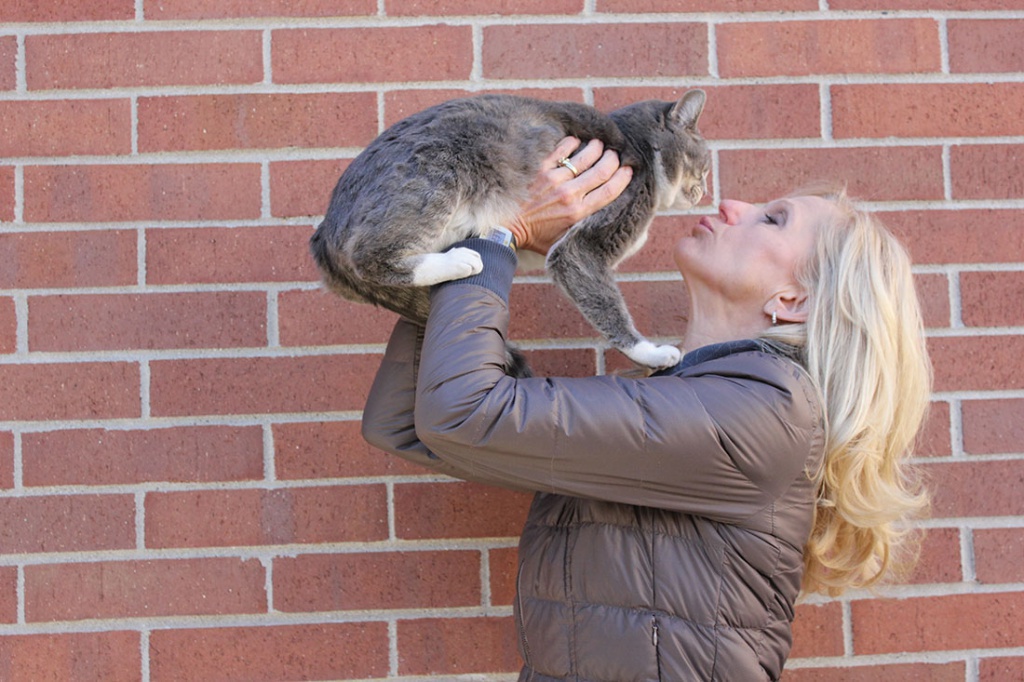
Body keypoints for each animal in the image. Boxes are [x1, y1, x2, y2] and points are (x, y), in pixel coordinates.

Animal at [307, 89, 708, 372]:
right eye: (703, 164)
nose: (705, 190)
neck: (638, 145)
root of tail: (324, 232)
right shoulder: (583, 247)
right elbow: (607, 305)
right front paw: (651, 353)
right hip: (442, 168)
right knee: (369, 256)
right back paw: (459, 261)